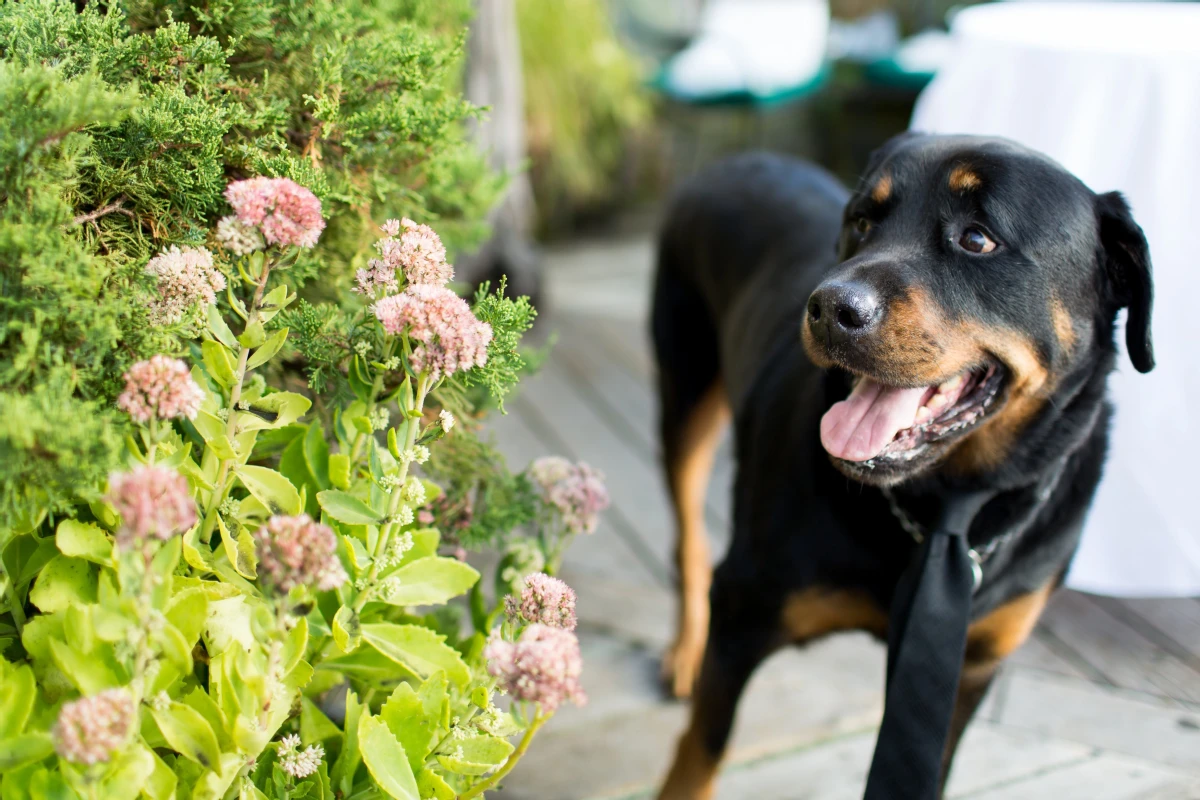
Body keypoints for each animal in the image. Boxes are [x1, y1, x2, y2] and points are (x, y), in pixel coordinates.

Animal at [652, 131, 1156, 796]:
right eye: (863, 223)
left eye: (977, 238)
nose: (829, 307)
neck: (948, 508)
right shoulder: (743, 613)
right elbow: (701, 750)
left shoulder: (973, 666)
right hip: (684, 395)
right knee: (688, 535)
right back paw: (685, 649)